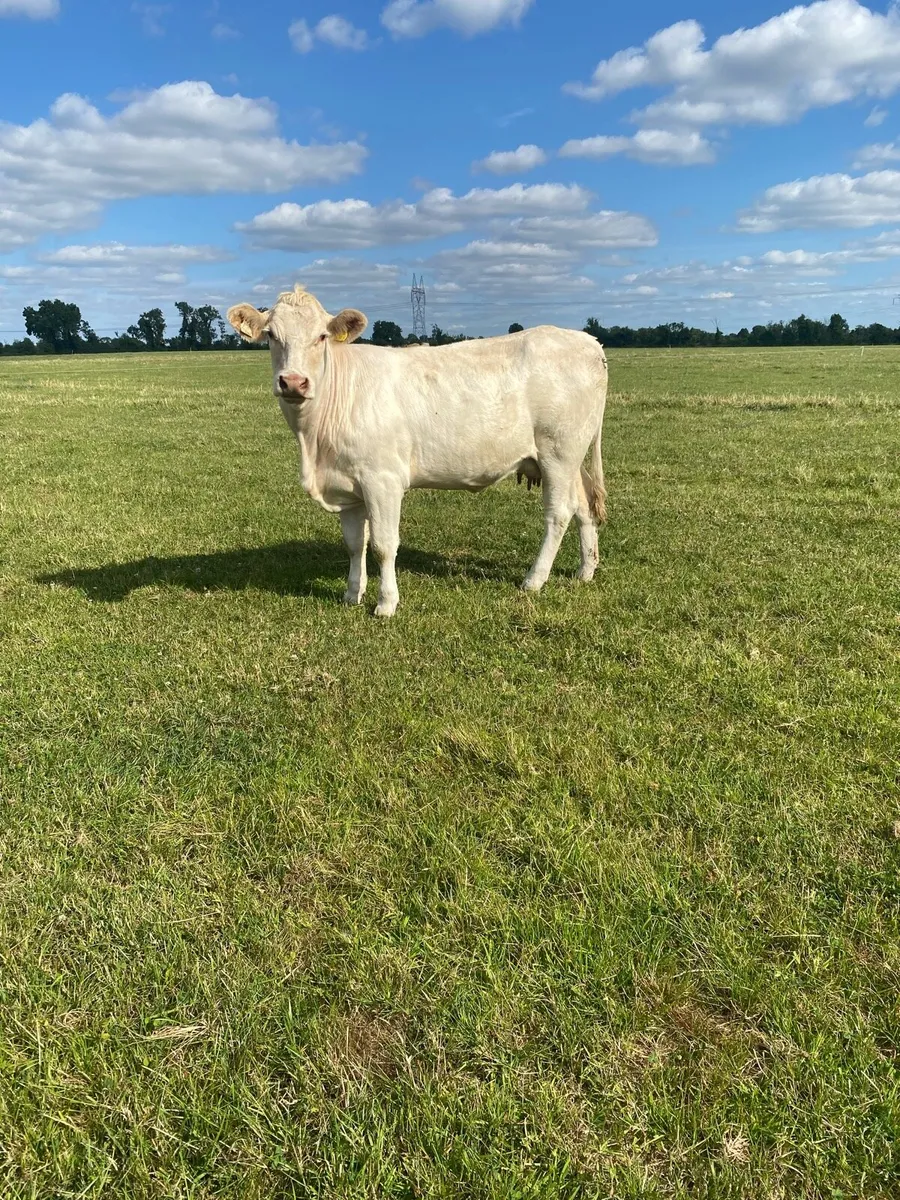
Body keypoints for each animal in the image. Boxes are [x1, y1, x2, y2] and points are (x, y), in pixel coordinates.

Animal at [227, 285, 608, 617]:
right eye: (271, 335)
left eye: (321, 336)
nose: (293, 382)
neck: (315, 444)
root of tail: (587, 340)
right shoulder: (347, 486)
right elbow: (354, 543)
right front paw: (352, 594)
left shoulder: (382, 480)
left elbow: (383, 545)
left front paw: (385, 603)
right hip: (570, 457)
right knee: (584, 506)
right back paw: (585, 570)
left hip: (559, 452)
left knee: (558, 514)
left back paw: (534, 579)